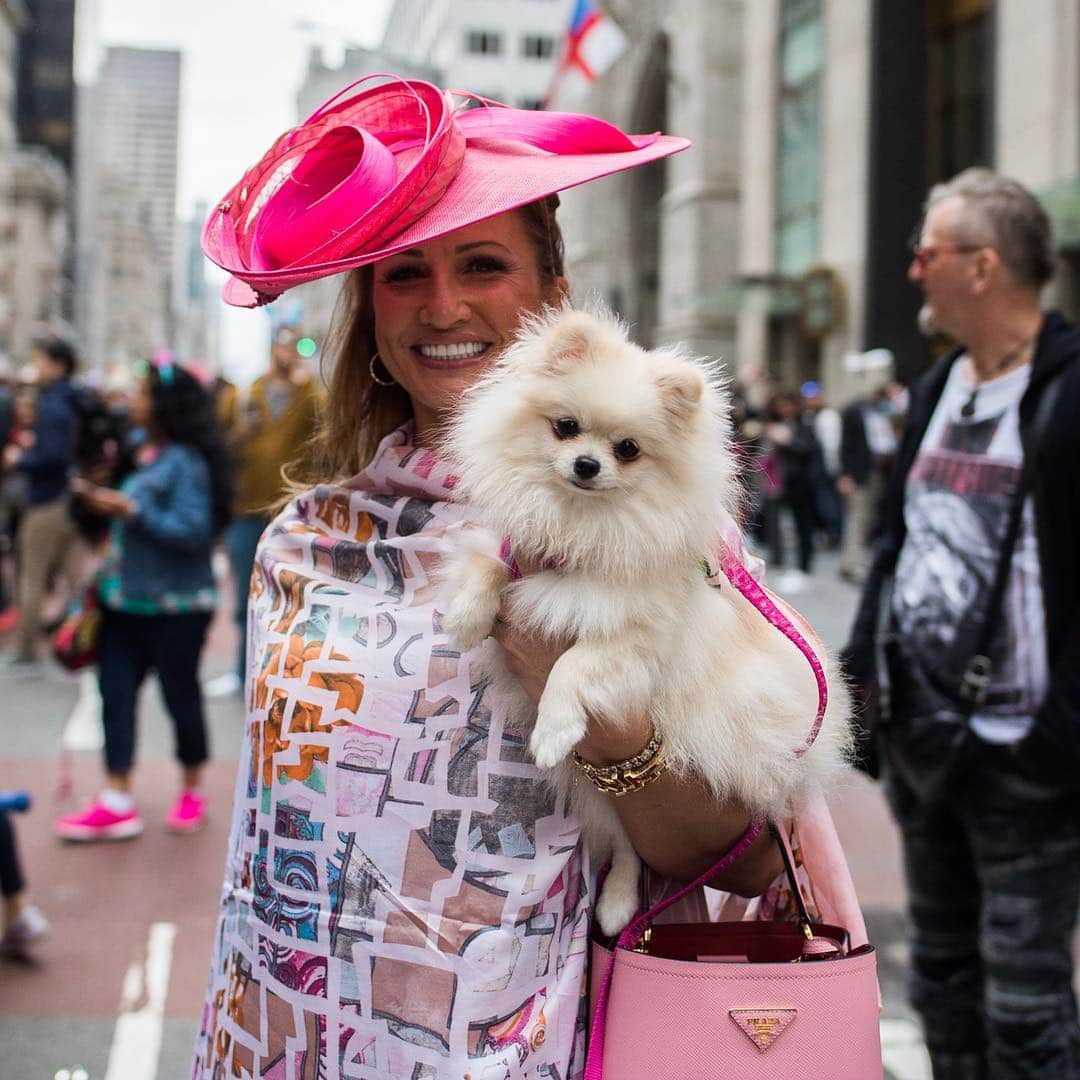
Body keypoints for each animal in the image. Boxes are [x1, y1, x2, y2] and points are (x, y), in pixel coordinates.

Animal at [438, 306, 851, 937]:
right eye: (565, 428)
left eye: (628, 449)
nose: (587, 464)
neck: (583, 524)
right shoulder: (521, 560)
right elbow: (488, 566)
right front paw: (464, 619)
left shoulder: (634, 640)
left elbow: (575, 664)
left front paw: (553, 729)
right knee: (624, 843)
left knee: (635, 846)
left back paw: (616, 906)